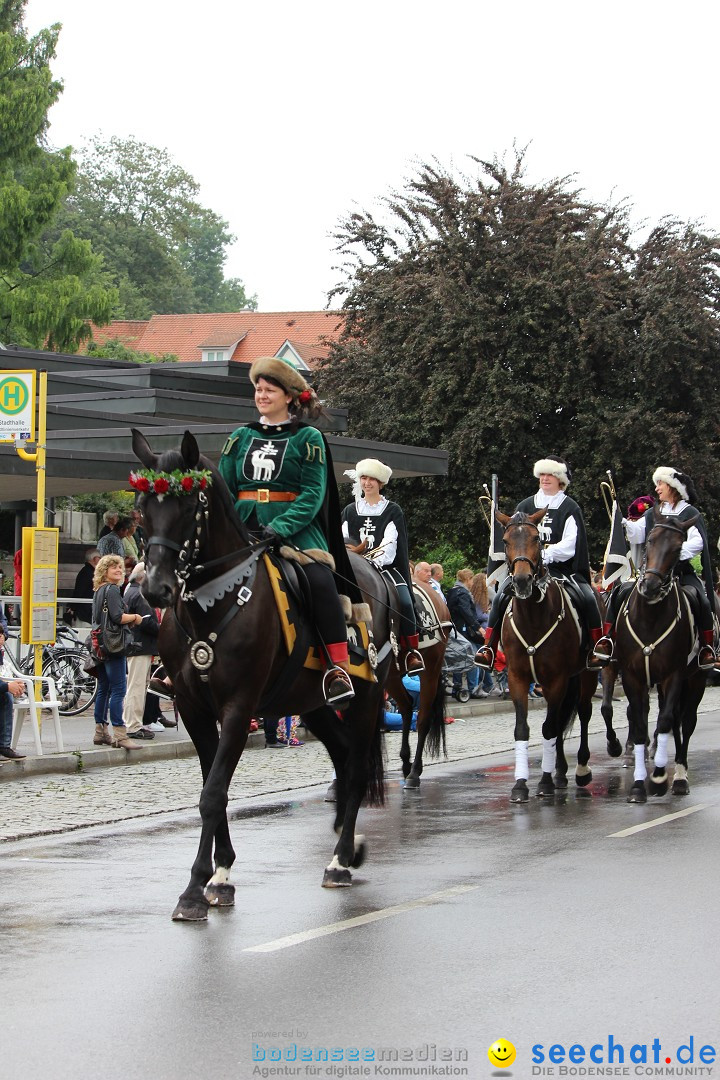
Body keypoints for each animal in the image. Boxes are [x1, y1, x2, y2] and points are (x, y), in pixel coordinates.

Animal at [132, 429, 397, 920]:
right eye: (142, 506)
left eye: (189, 505)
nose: (156, 589)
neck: (214, 600)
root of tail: (374, 572)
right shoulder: (195, 711)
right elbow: (211, 788)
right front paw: (220, 876)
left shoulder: (238, 708)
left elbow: (213, 794)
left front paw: (195, 888)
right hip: (311, 704)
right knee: (342, 753)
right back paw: (347, 843)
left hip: (368, 699)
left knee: (354, 767)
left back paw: (339, 861)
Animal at [386, 578, 453, 790]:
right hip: (392, 677)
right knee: (407, 706)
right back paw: (406, 763)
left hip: (430, 669)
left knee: (423, 718)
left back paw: (414, 772)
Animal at [498, 511, 621, 803]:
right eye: (506, 540)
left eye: (536, 538)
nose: (522, 581)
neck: (532, 618)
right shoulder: (518, 678)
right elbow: (524, 729)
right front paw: (520, 785)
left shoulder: (556, 679)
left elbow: (549, 728)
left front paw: (544, 782)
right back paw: (561, 771)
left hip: (586, 674)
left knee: (584, 713)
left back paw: (581, 768)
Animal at [613, 505, 708, 803]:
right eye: (651, 540)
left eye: (678, 547)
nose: (651, 586)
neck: (650, 617)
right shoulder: (632, 676)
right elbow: (639, 724)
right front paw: (638, 785)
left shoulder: (673, 675)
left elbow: (665, 721)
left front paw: (657, 778)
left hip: (695, 679)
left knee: (685, 722)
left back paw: (678, 777)